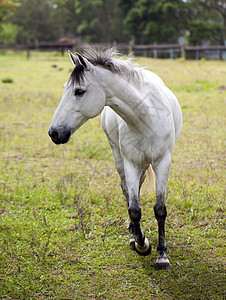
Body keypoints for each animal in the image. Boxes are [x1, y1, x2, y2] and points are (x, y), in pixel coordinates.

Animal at [48, 48, 183, 270]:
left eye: (79, 91)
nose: (54, 133)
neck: (145, 117)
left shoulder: (163, 162)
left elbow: (160, 209)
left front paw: (162, 255)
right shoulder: (130, 163)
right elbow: (134, 208)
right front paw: (141, 244)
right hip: (120, 159)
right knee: (127, 191)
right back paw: (133, 233)